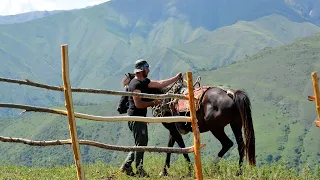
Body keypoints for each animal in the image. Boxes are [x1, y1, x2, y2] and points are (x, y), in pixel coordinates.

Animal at [119, 73, 255, 176]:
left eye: (127, 88)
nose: (119, 108)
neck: (165, 98)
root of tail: (230, 94)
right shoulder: (172, 129)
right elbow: (170, 147)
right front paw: (164, 171)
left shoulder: (173, 129)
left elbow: (181, 147)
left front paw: (189, 170)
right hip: (235, 124)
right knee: (240, 145)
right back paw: (239, 172)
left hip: (216, 128)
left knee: (227, 143)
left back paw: (213, 166)